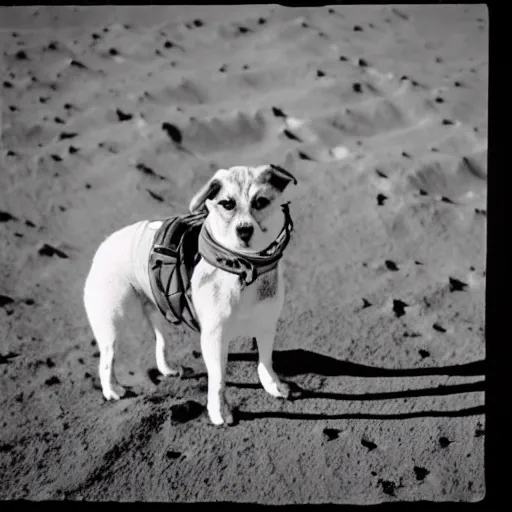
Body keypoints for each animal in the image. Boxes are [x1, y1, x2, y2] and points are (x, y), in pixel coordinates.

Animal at [83, 164, 298, 424]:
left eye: (261, 202)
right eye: (227, 204)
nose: (244, 231)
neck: (243, 267)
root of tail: (105, 244)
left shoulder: (266, 326)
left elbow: (265, 361)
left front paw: (272, 385)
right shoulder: (214, 338)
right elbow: (218, 380)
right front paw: (219, 411)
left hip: (158, 308)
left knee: (160, 340)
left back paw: (167, 368)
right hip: (112, 322)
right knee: (107, 359)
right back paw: (112, 389)